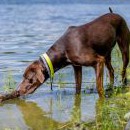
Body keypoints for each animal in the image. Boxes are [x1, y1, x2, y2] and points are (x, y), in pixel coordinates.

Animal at [0, 10, 129, 101]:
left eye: (28, 79)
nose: (17, 91)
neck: (63, 49)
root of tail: (114, 13)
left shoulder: (98, 61)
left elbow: (99, 88)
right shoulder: (77, 66)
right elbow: (77, 88)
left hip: (123, 47)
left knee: (123, 69)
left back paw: (123, 84)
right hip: (106, 53)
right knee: (111, 70)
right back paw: (111, 87)